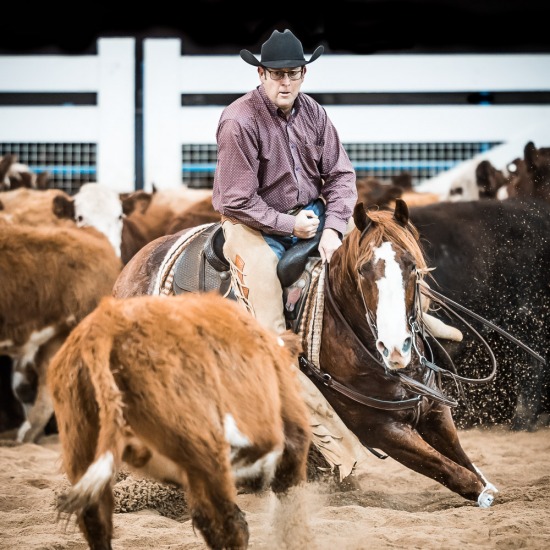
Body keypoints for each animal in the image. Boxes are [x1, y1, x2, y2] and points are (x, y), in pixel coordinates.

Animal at [115, 201, 500, 512]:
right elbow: (453, 472)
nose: (395, 348)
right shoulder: (382, 430)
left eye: (412, 266)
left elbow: (463, 458)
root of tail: (131, 267)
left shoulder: (432, 410)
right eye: (363, 270)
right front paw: (482, 494)